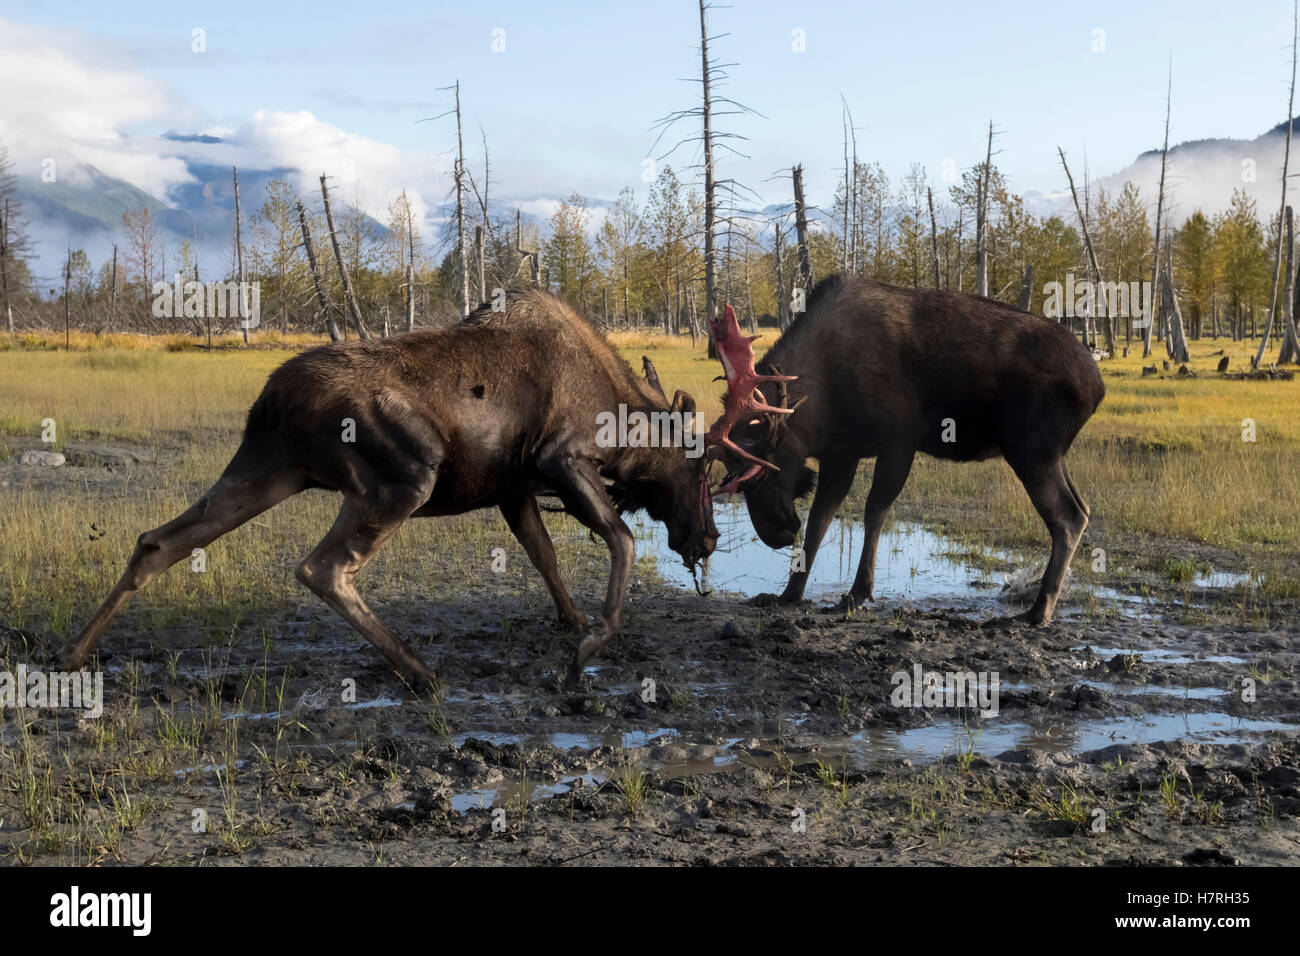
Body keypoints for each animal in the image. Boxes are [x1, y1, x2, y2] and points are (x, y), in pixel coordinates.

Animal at [63, 287, 722, 691]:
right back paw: (419, 670)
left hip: (267, 470)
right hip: (403, 475)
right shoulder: (561, 459)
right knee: (322, 568)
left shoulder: (513, 488)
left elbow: (546, 557)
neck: (625, 428)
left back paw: (74, 654)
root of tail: (271, 400)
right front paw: (587, 647)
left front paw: (571, 621)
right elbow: (622, 539)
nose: (710, 538)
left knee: (159, 541)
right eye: (702, 468)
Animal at [707, 273, 1102, 624]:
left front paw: (857, 594)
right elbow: (821, 519)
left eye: (757, 472)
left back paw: (1038, 611)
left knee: (1067, 517)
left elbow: (874, 512)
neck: (821, 404)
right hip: (1051, 455)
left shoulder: (899, 440)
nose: (776, 535)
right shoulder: (841, 453)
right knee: (1083, 508)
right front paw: (789, 592)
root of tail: (1097, 387)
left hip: (1032, 449)